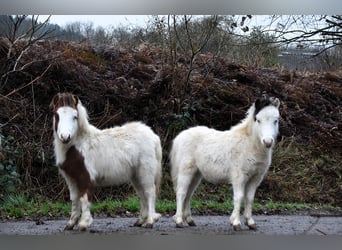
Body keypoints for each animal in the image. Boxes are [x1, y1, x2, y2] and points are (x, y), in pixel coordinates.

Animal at [50, 92, 162, 230]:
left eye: (75, 117)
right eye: (57, 115)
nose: (65, 137)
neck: (78, 145)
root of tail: (153, 136)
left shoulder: (85, 176)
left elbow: (84, 198)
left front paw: (84, 223)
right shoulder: (71, 178)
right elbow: (75, 199)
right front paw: (71, 223)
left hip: (146, 172)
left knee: (149, 192)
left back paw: (150, 221)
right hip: (136, 175)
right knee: (142, 195)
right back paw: (140, 221)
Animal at [171, 95, 280, 230]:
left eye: (276, 120)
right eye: (258, 120)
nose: (268, 142)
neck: (250, 145)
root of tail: (180, 137)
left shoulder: (255, 178)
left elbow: (249, 198)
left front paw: (250, 222)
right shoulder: (239, 176)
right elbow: (239, 197)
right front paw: (236, 223)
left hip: (196, 175)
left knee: (188, 194)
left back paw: (190, 220)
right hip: (186, 171)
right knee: (181, 193)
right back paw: (179, 221)